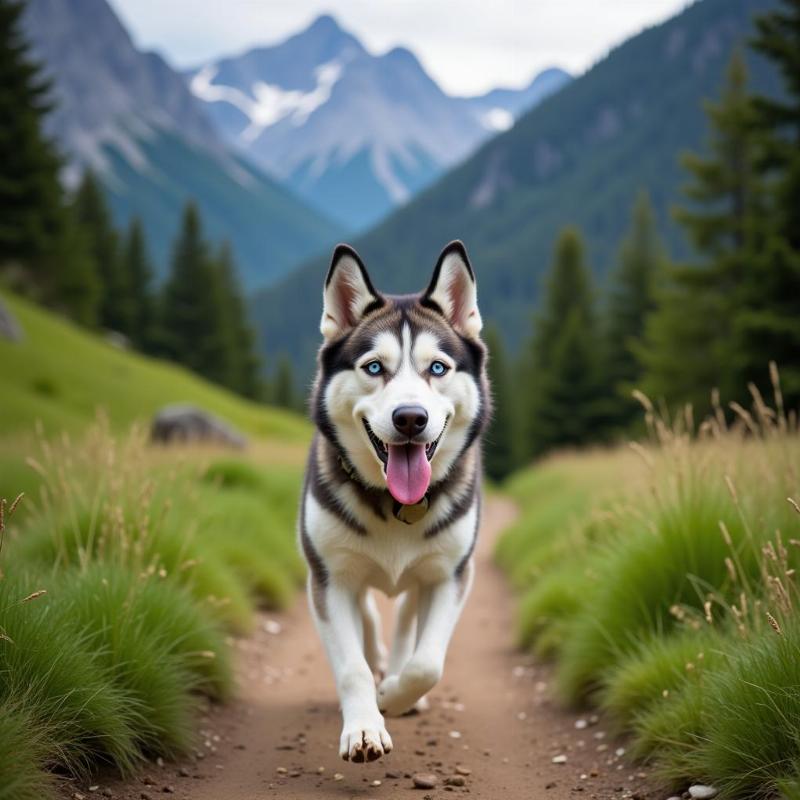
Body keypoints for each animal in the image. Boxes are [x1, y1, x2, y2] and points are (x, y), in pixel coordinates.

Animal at [298, 242, 488, 764]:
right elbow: (352, 666)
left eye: (438, 368)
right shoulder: (329, 579)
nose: (410, 418)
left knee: (406, 618)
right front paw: (364, 726)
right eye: (374, 367)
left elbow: (428, 664)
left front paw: (395, 695)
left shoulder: (451, 574)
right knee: (367, 614)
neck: (397, 504)